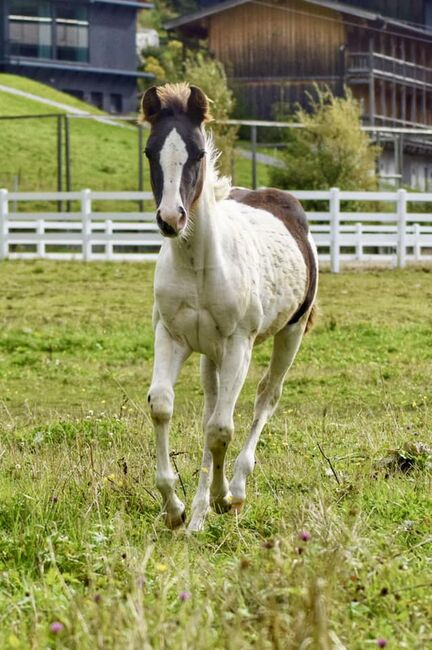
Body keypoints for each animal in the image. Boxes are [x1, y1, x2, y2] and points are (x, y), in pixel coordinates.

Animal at [142, 81, 318, 528]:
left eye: (198, 153)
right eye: (150, 152)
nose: (171, 219)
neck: (199, 265)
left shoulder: (239, 344)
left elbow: (222, 428)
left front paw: (217, 501)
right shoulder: (170, 335)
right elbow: (163, 406)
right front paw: (175, 508)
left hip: (289, 335)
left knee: (265, 397)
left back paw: (235, 490)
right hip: (210, 353)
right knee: (210, 403)